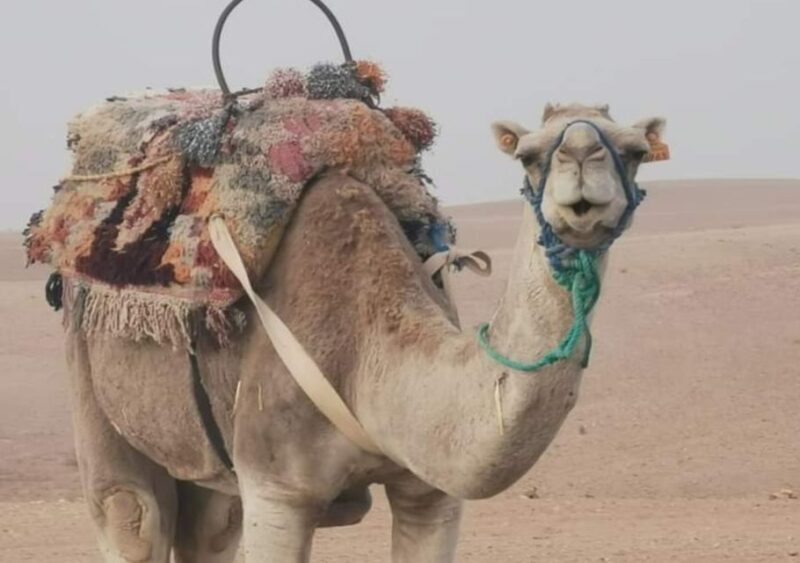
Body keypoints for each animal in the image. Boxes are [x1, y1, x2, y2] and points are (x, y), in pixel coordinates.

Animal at [65, 102, 665, 562]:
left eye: (636, 151)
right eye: (529, 154)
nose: (581, 157)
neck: (365, 356)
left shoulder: (430, 493)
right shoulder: (277, 489)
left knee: (209, 529)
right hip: (90, 374)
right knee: (131, 512)